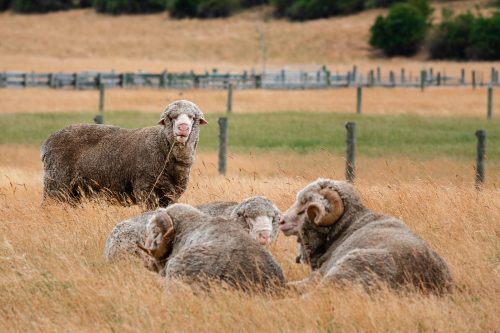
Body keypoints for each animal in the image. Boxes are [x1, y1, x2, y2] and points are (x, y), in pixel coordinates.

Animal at [39, 98, 207, 208]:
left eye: (193, 118)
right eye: (170, 118)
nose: (183, 128)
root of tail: (48, 141)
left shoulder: (171, 196)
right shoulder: (145, 190)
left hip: (74, 193)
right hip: (56, 184)